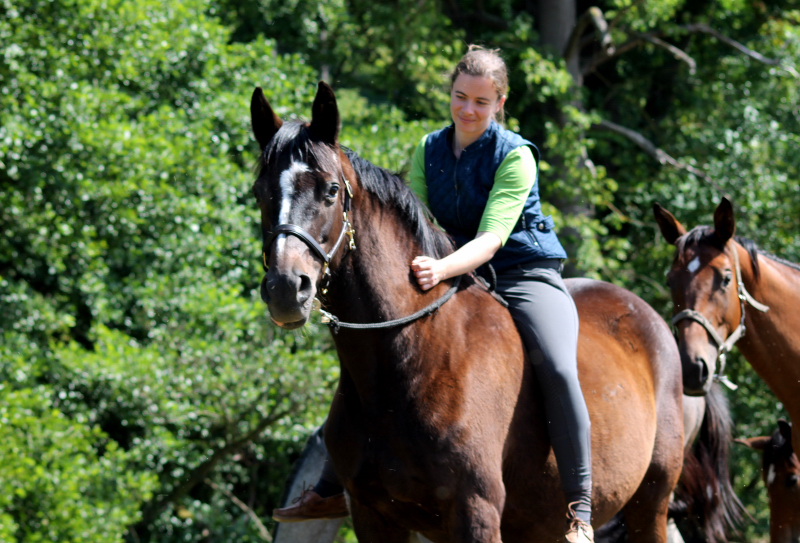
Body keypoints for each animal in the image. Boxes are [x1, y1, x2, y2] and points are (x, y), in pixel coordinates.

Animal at [255, 82, 680, 543]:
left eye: (331, 190)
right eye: (261, 192)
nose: (285, 288)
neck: (409, 360)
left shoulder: (475, 510)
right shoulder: (373, 515)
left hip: (650, 506)